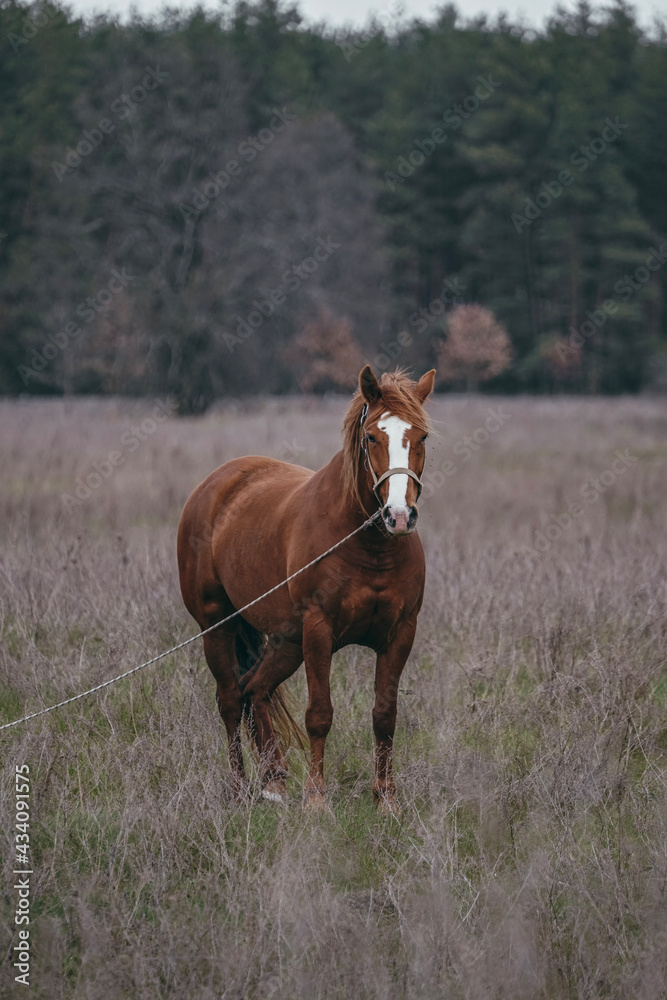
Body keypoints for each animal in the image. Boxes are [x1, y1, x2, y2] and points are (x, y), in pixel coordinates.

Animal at [177, 365, 435, 811]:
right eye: (372, 437)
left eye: (421, 437)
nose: (399, 516)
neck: (368, 545)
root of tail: (215, 483)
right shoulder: (319, 630)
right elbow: (319, 714)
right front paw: (316, 798)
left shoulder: (401, 632)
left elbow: (385, 715)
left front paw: (385, 798)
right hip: (218, 626)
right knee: (230, 699)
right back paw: (240, 788)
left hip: (286, 640)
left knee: (255, 689)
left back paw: (275, 782)